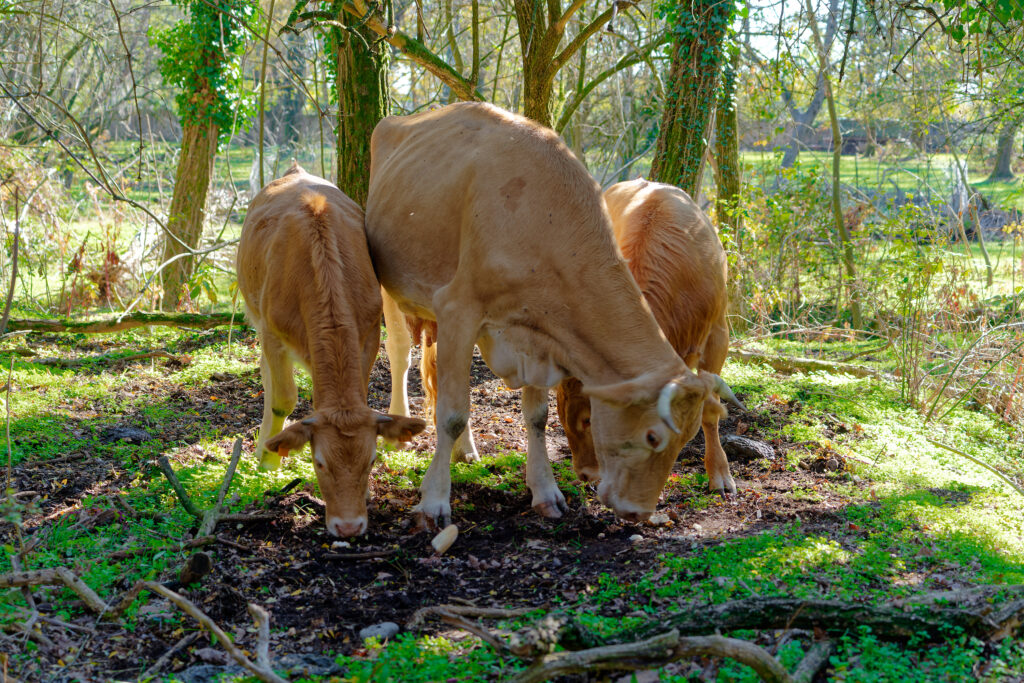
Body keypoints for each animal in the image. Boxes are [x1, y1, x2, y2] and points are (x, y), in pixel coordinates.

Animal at [237, 162, 425, 536]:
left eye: (371, 460)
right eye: (318, 462)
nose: (349, 526)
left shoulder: (367, 332)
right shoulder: (272, 333)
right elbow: (282, 400)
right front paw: (268, 461)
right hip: (256, 314)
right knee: (267, 377)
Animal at [561, 179, 745, 493]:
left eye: (589, 420)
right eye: (561, 416)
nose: (585, 474)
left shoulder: (719, 335)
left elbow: (710, 410)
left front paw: (720, 473)